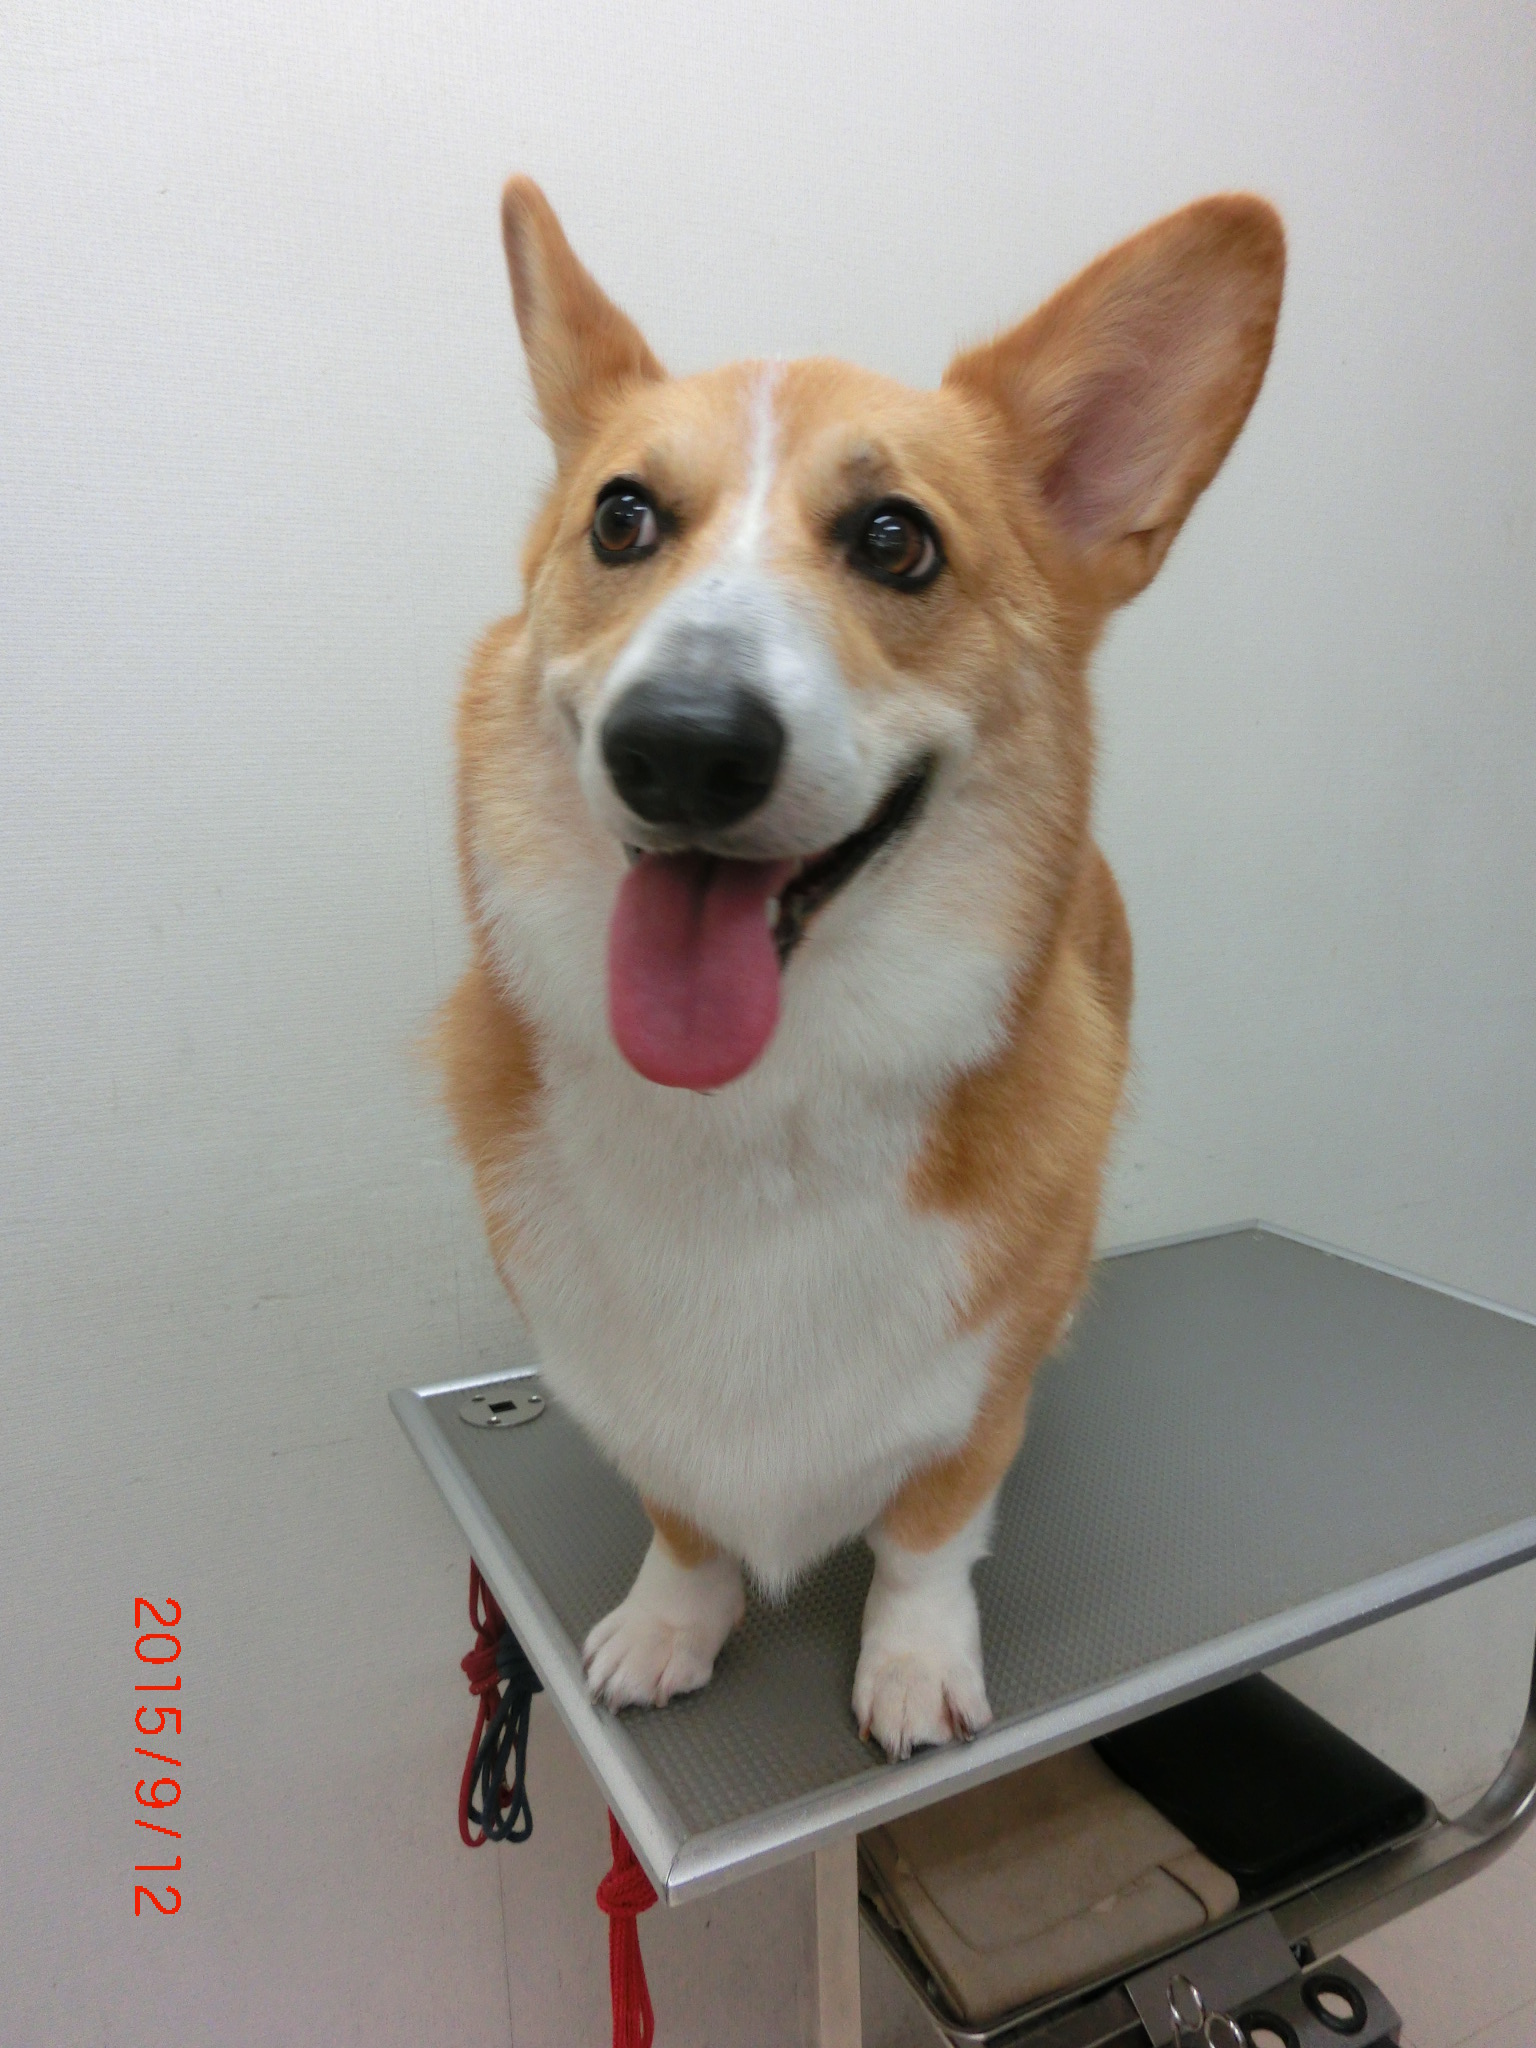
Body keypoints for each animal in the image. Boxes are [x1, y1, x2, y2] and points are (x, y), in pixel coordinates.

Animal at [437, 178, 1283, 1758]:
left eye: (897, 540)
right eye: (622, 517)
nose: (680, 744)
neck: (755, 1114)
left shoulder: (974, 1389)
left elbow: (930, 1527)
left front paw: (912, 1664)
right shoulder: (628, 1393)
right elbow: (683, 1513)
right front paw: (671, 1619)